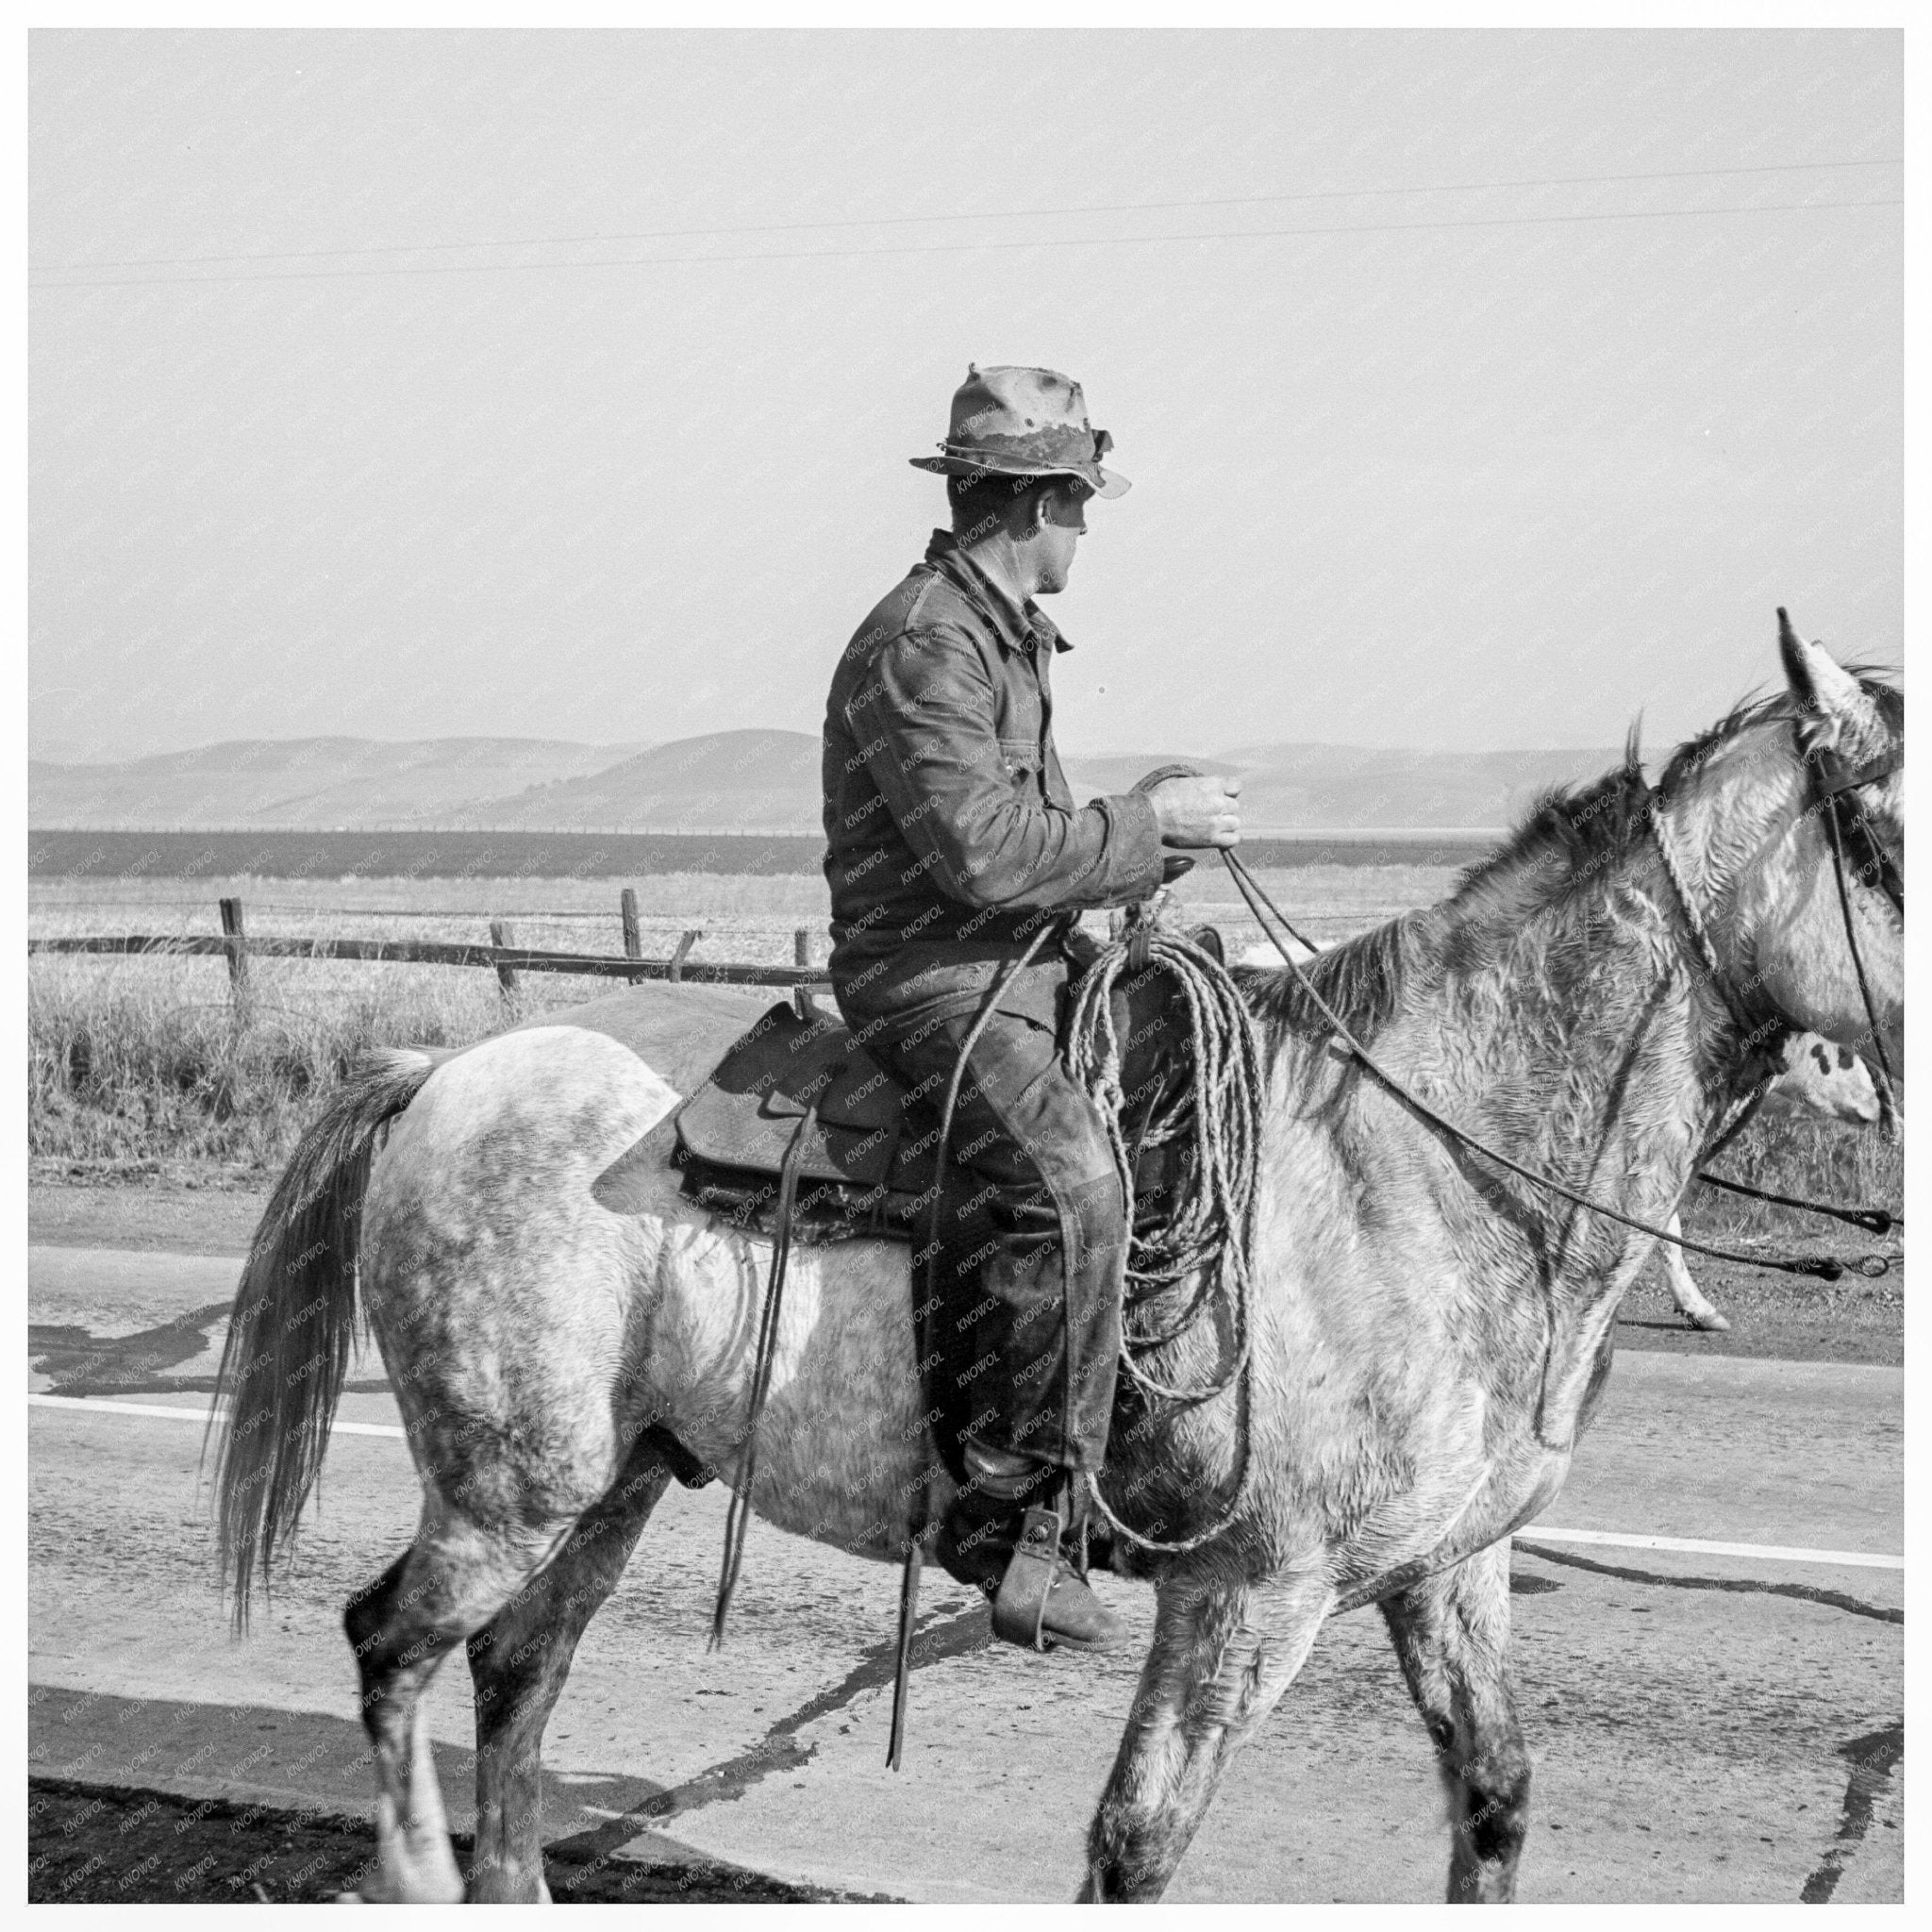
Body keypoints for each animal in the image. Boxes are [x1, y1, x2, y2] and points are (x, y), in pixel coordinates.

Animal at [211, 625, 1901, 1893]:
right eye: (1884, 830)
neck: (1425, 1162)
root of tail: (446, 1069)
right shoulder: (1245, 1596)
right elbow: (1138, 1844)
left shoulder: (1449, 1571)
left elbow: (1494, 1796)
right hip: (512, 1483)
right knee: (394, 1645)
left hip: (617, 1474)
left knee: (515, 1671)